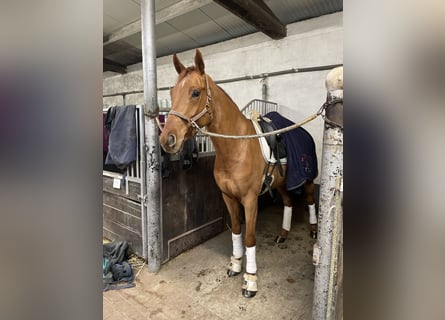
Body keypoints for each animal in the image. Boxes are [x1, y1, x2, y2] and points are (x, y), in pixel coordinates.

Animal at [160, 49, 316, 298]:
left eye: (195, 92)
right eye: (172, 93)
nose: (167, 139)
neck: (236, 148)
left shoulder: (250, 201)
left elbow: (250, 238)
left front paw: (250, 280)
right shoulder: (228, 197)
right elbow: (235, 230)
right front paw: (235, 264)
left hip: (308, 178)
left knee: (310, 201)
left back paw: (313, 231)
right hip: (281, 183)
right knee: (289, 202)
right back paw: (283, 234)